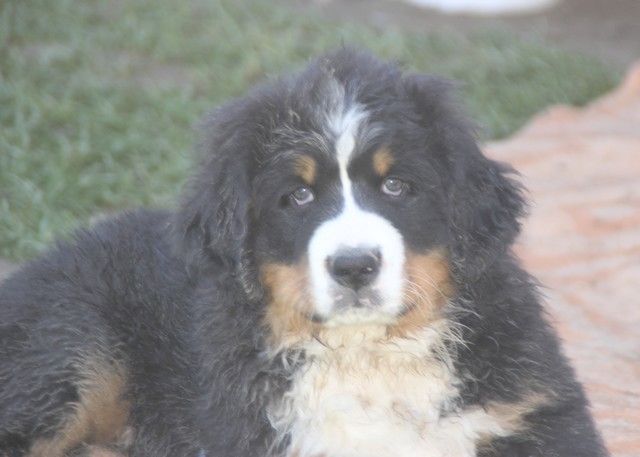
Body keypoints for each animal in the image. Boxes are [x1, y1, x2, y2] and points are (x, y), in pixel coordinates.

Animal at [0, 49, 608, 457]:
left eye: (396, 186)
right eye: (297, 196)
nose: (355, 266)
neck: (366, 355)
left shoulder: (537, 413)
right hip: (71, 351)